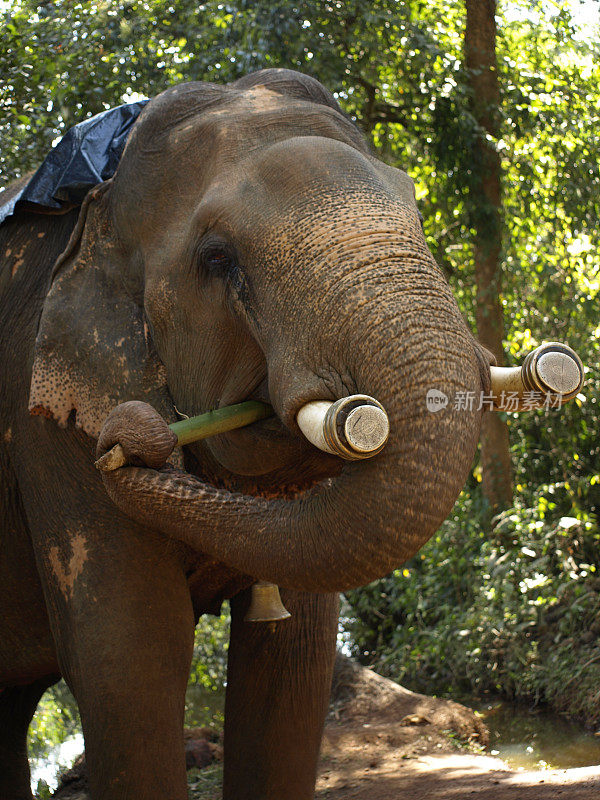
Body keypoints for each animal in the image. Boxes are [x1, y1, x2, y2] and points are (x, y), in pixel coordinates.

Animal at [0, 70, 492, 800]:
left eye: (418, 214)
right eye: (216, 258)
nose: (126, 442)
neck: (100, 201)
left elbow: (292, 658)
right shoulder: (47, 427)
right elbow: (130, 650)